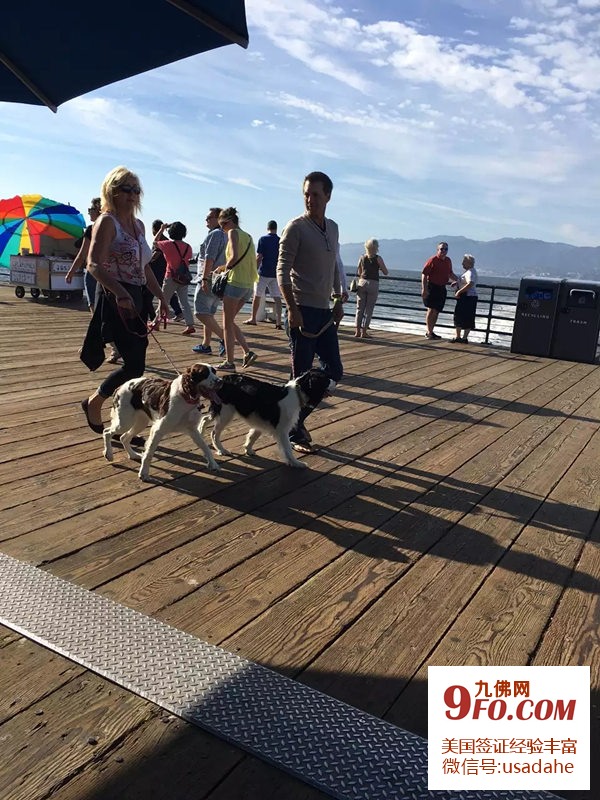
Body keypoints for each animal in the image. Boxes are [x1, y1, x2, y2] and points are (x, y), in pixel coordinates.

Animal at [199, 368, 335, 468]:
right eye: (326, 380)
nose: (336, 380)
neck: (296, 392)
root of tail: (222, 379)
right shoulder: (282, 430)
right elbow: (287, 449)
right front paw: (296, 463)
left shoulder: (259, 420)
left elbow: (252, 436)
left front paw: (248, 449)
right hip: (226, 413)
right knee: (214, 433)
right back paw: (221, 450)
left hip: (220, 410)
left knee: (205, 418)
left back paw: (200, 432)